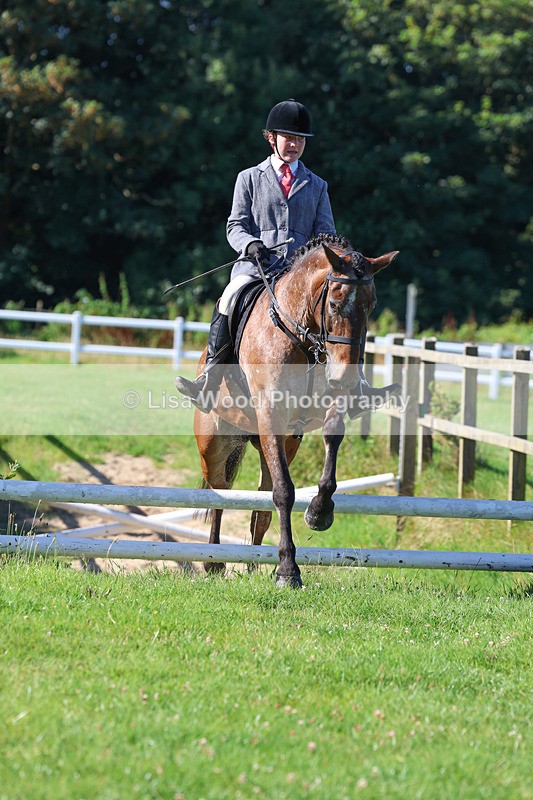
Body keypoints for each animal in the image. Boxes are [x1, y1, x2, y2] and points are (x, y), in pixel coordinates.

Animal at [193, 233, 399, 587]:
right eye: (334, 303)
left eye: (371, 306)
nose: (345, 376)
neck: (302, 338)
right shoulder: (270, 414)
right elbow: (284, 492)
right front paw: (288, 570)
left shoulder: (325, 407)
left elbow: (332, 440)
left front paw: (319, 512)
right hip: (214, 444)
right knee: (221, 493)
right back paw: (215, 562)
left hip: (281, 443)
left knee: (260, 507)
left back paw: (253, 565)